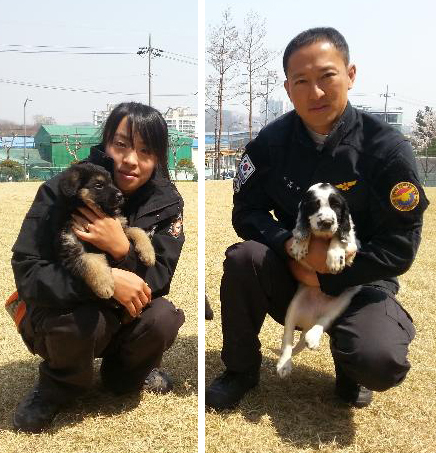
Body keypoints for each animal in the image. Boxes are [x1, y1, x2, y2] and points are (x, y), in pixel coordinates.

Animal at [278, 182, 360, 376]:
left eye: (336, 206)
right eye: (314, 205)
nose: (327, 223)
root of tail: (310, 320)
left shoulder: (353, 244)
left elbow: (339, 237)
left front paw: (335, 258)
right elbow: (302, 231)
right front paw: (300, 245)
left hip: (341, 303)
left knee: (323, 321)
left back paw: (312, 338)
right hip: (294, 307)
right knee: (287, 338)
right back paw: (284, 365)